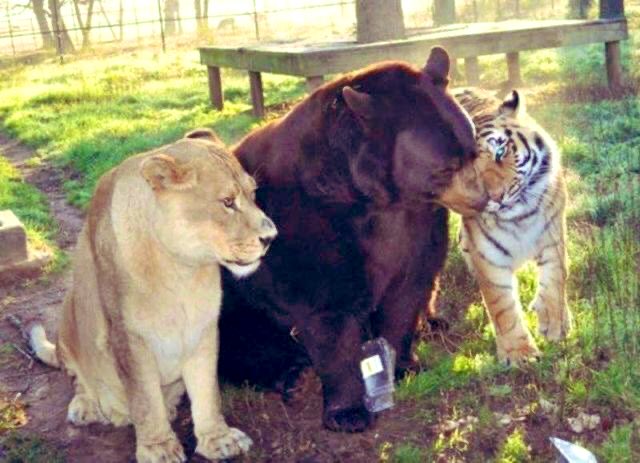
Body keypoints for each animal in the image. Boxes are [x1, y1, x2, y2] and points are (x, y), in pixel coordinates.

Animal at [29, 128, 277, 462]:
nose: (271, 237)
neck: (181, 270)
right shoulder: (129, 337)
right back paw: (87, 407)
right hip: (69, 315)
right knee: (79, 378)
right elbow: (145, 399)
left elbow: (207, 390)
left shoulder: (204, 328)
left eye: (253, 194)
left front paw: (219, 439)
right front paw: (158, 448)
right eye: (227, 202)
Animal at [453, 87, 571, 365]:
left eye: (500, 152)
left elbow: (555, 278)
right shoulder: (489, 257)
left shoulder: (553, 235)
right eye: (469, 172)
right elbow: (502, 306)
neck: (519, 217)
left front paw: (554, 324)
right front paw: (519, 354)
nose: (496, 197)